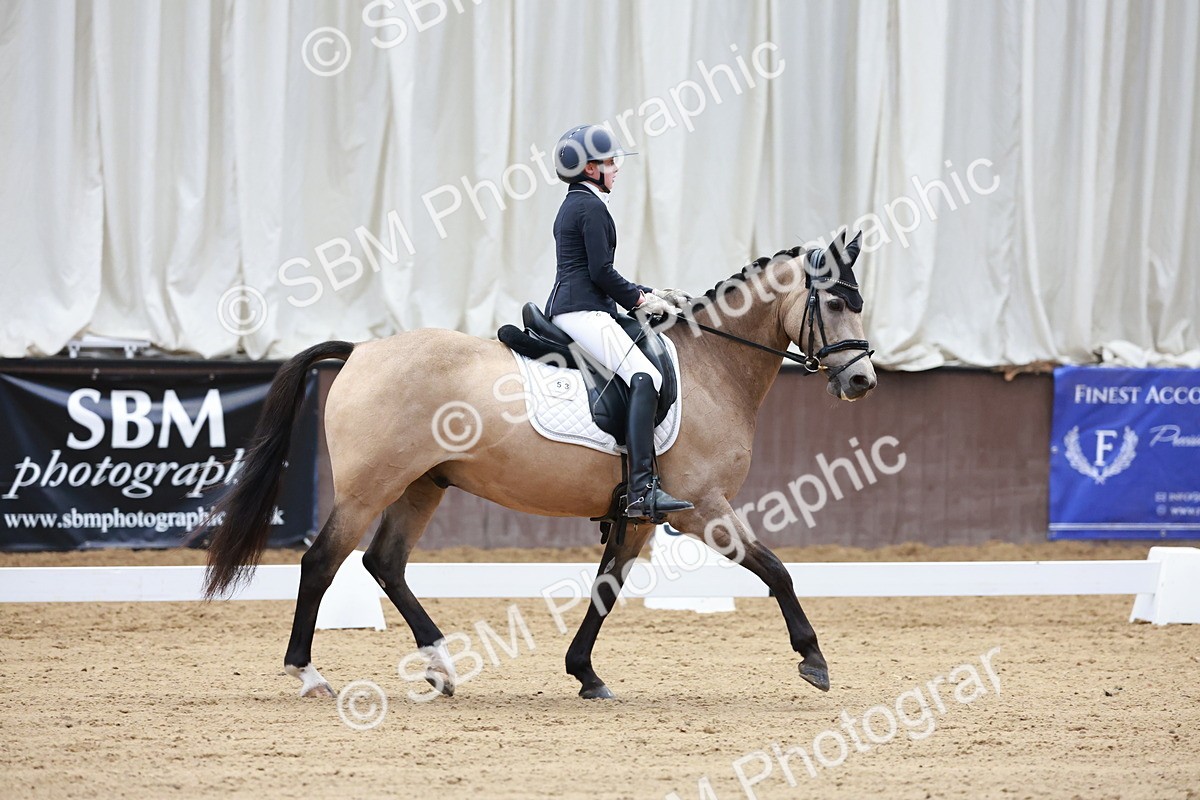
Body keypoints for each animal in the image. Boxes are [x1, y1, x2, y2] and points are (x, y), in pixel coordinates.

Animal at [201, 230, 877, 700]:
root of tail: (362, 349)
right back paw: (309, 675)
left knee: (384, 564)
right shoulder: (702, 509)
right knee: (322, 563)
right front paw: (813, 659)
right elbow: (777, 570)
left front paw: (585, 674)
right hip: (370, 488)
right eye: (835, 302)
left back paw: (441, 667)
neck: (713, 369)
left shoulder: (636, 516)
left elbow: (606, 589)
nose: (863, 381)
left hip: (422, 485)